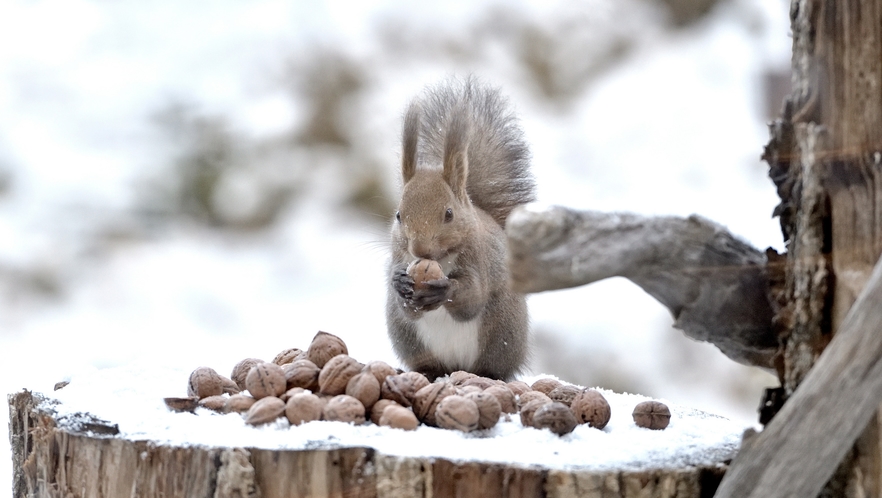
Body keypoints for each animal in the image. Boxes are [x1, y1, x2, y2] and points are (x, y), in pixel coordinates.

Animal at [384, 79, 532, 382]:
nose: (420, 249)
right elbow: (408, 308)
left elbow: (471, 297)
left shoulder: (479, 259)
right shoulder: (398, 256)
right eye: (398, 215)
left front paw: (443, 288)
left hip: (501, 333)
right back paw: (427, 373)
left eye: (449, 214)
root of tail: (455, 367)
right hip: (409, 339)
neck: (441, 259)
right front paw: (399, 282)